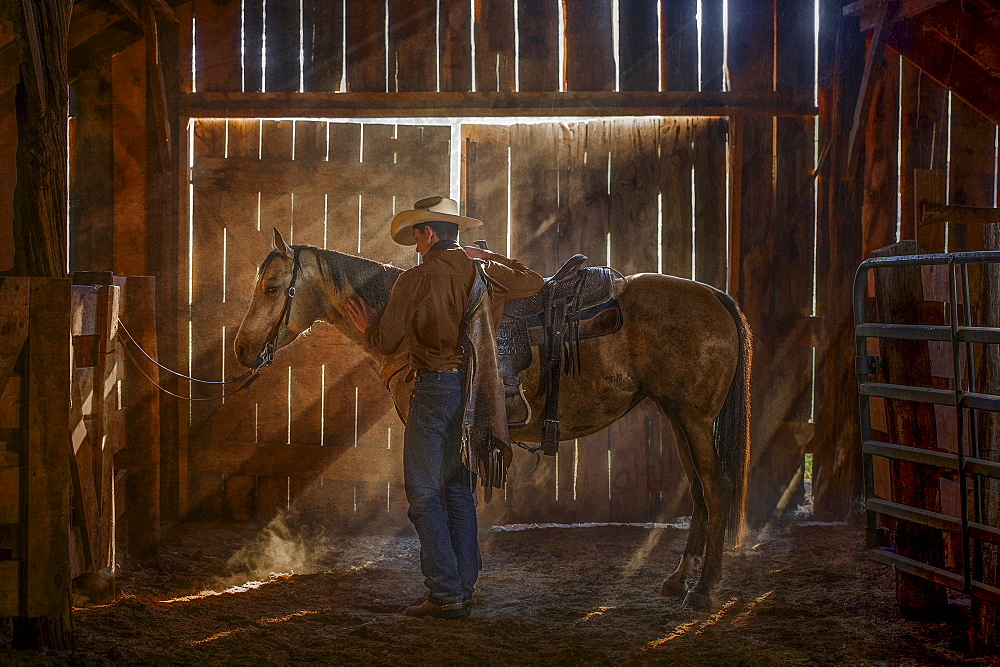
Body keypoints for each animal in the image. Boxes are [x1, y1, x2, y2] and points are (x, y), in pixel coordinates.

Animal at [234, 228, 752, 612]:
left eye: (273, 287)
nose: (241, 349)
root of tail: (716, 296)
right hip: (679, 416)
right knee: (699, 492)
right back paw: (678, 580)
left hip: (694, 418)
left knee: (718, 489)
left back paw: (703, 592)